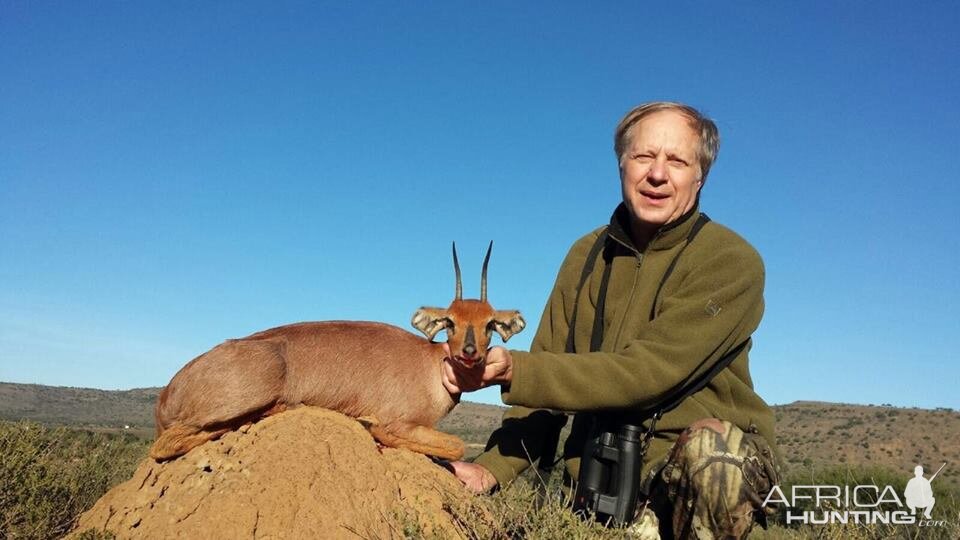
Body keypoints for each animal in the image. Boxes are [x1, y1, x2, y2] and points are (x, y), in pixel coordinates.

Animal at [150, 243, 524, 462]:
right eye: (449, 320)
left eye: (490, 323)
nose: (469, 352)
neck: (429, 366)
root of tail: (168, 392)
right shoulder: (399, 421)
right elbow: (456, 446)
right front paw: (371, 427)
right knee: (165, 446)